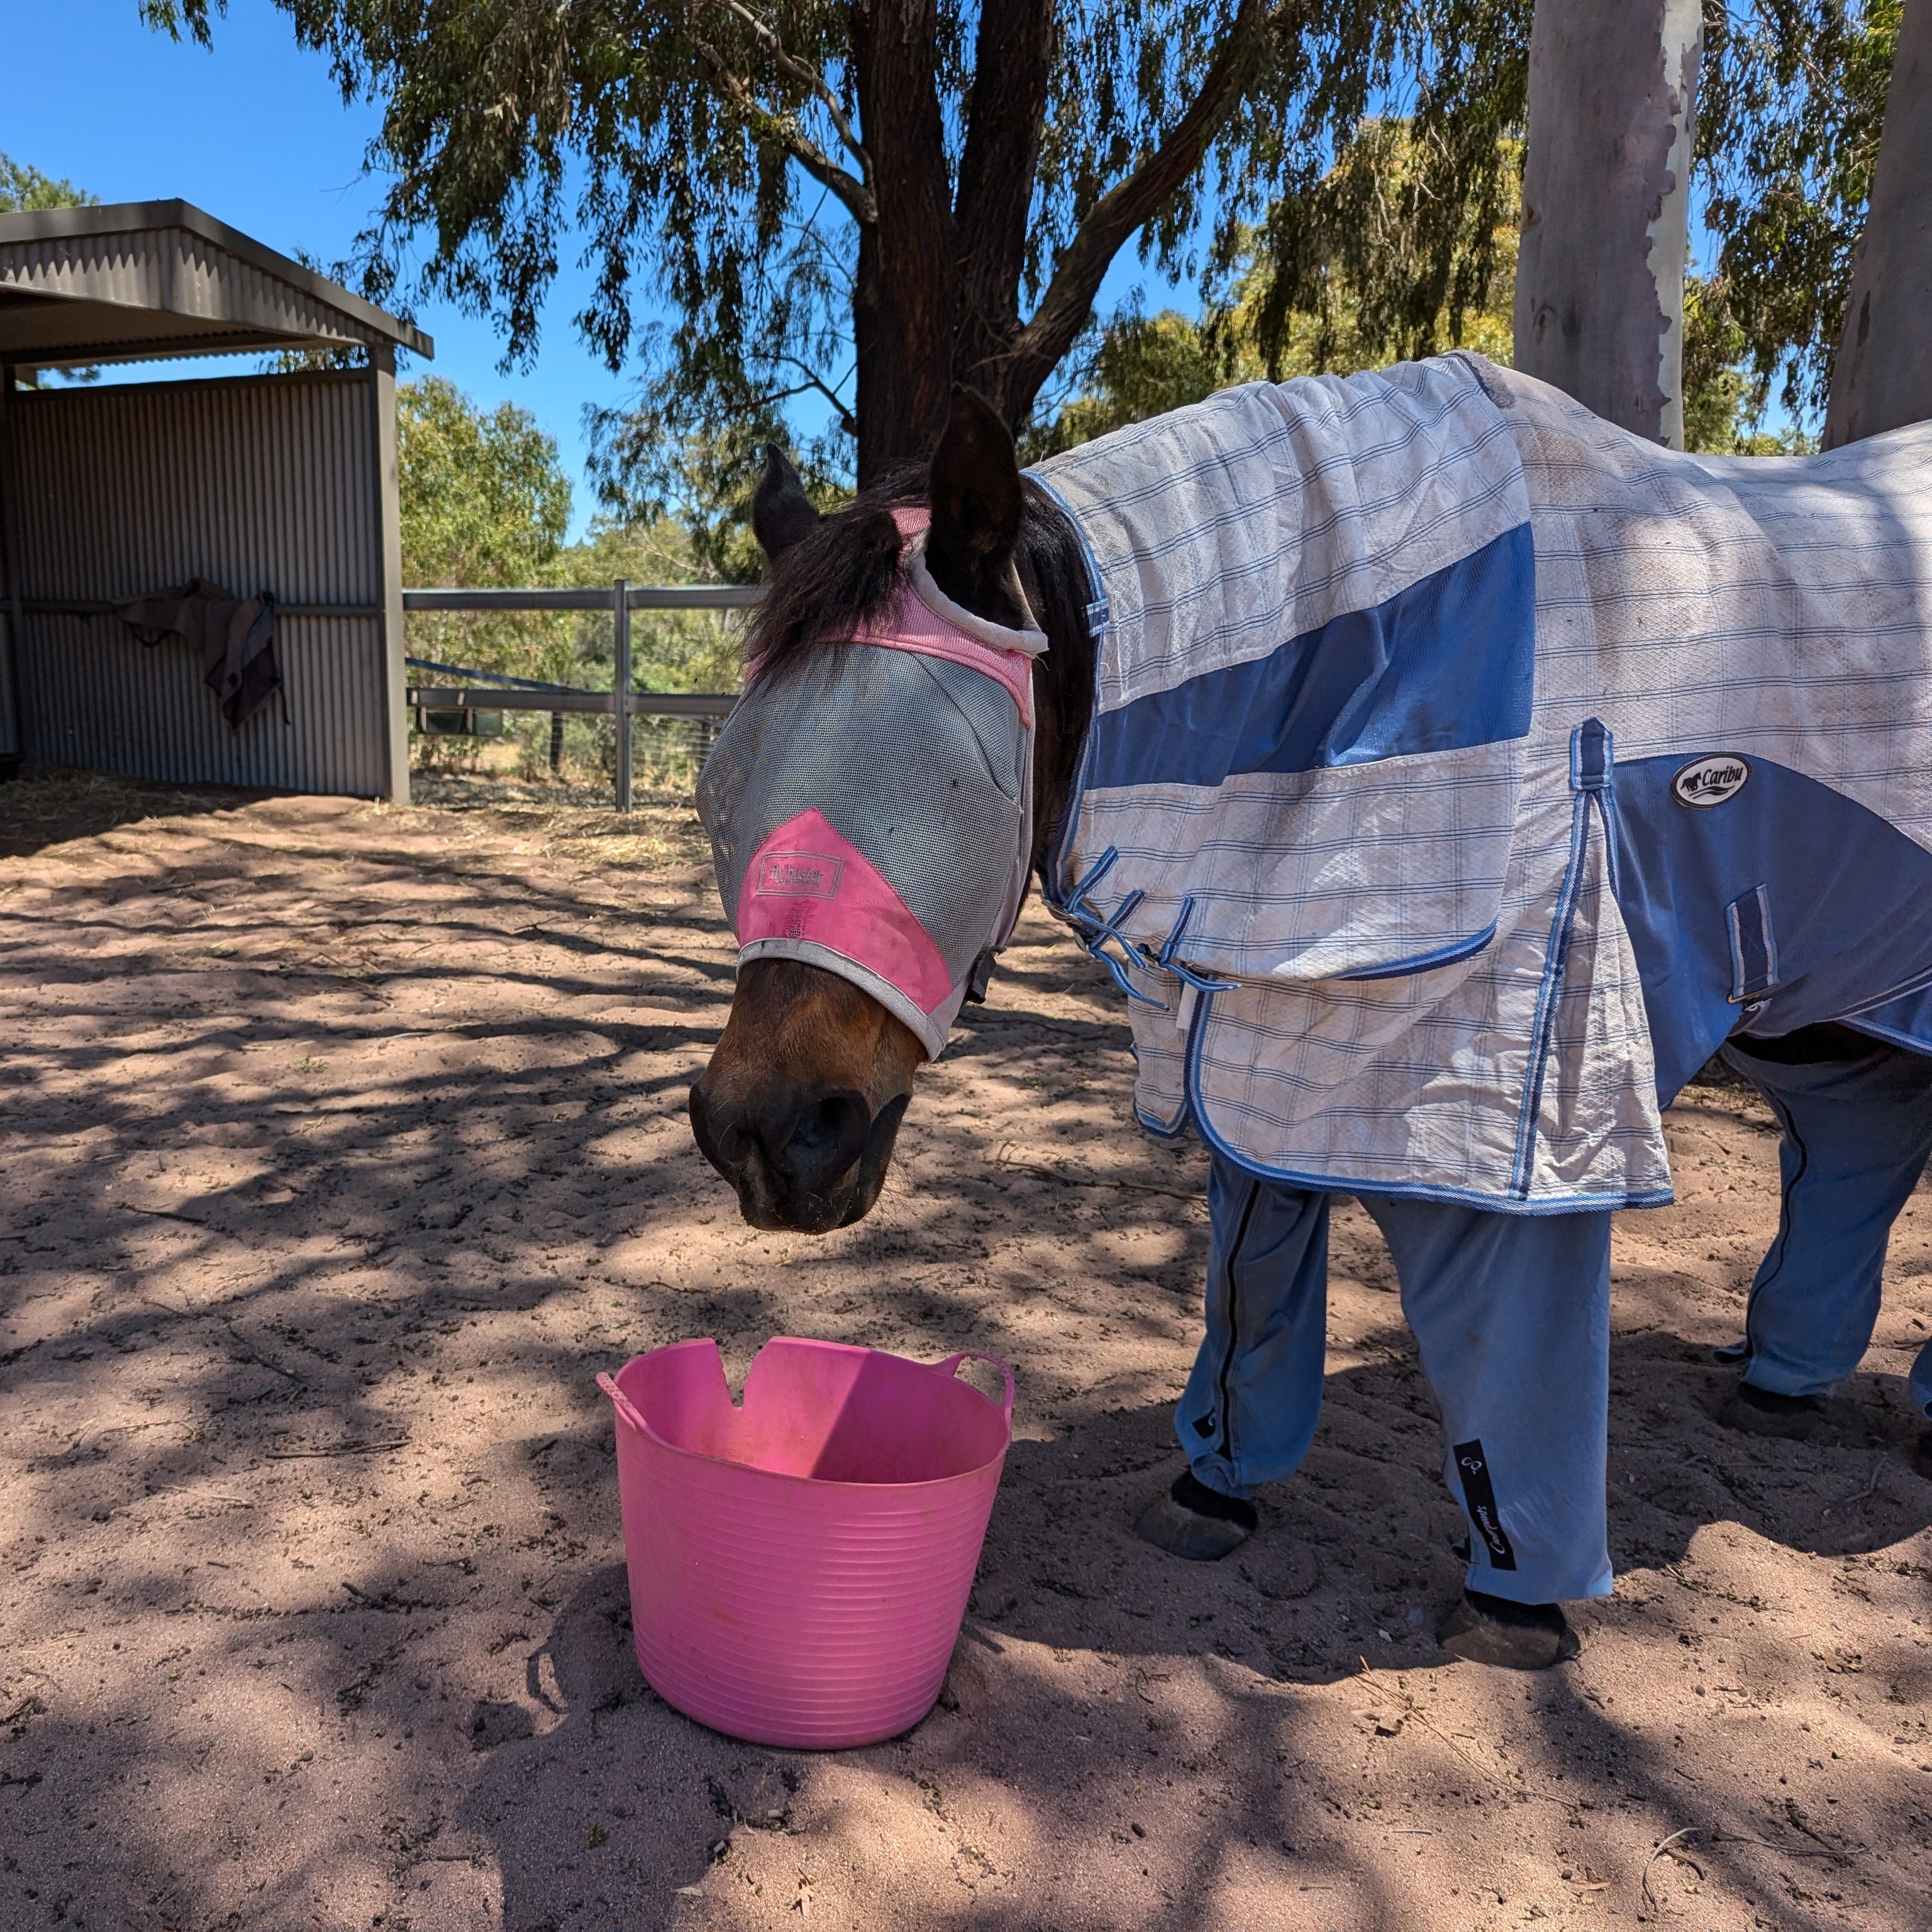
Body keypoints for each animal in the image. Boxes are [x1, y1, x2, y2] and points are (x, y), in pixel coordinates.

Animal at [688, 358, 1932, 1669]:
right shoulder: (1261, 1032)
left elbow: (1506, 1329)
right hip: (1826, 1008)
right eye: (724, 785)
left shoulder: (1515, 1088)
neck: (1375, 673)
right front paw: (1212, 1486)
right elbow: (1256, 1271)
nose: (759, 1135)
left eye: (947, 778)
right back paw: (1781, 1381)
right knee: (1857, 1141)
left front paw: (1519, 1597)